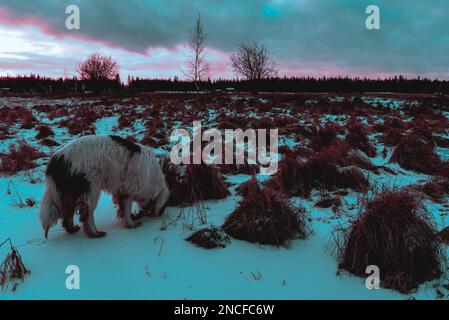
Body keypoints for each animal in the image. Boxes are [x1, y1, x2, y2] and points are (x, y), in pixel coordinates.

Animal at [39, 134, 170, 238]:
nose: (160, 214)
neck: (152, 177)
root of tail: (56, 159)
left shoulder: (120, 192)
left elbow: (122, 209)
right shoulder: (128, 191)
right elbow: (127, 210)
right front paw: (131, 224)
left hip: (71, 194)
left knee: (68, 216)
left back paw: (73, 229)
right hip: (91, 189)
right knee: (86, 216)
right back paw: (95, 233)